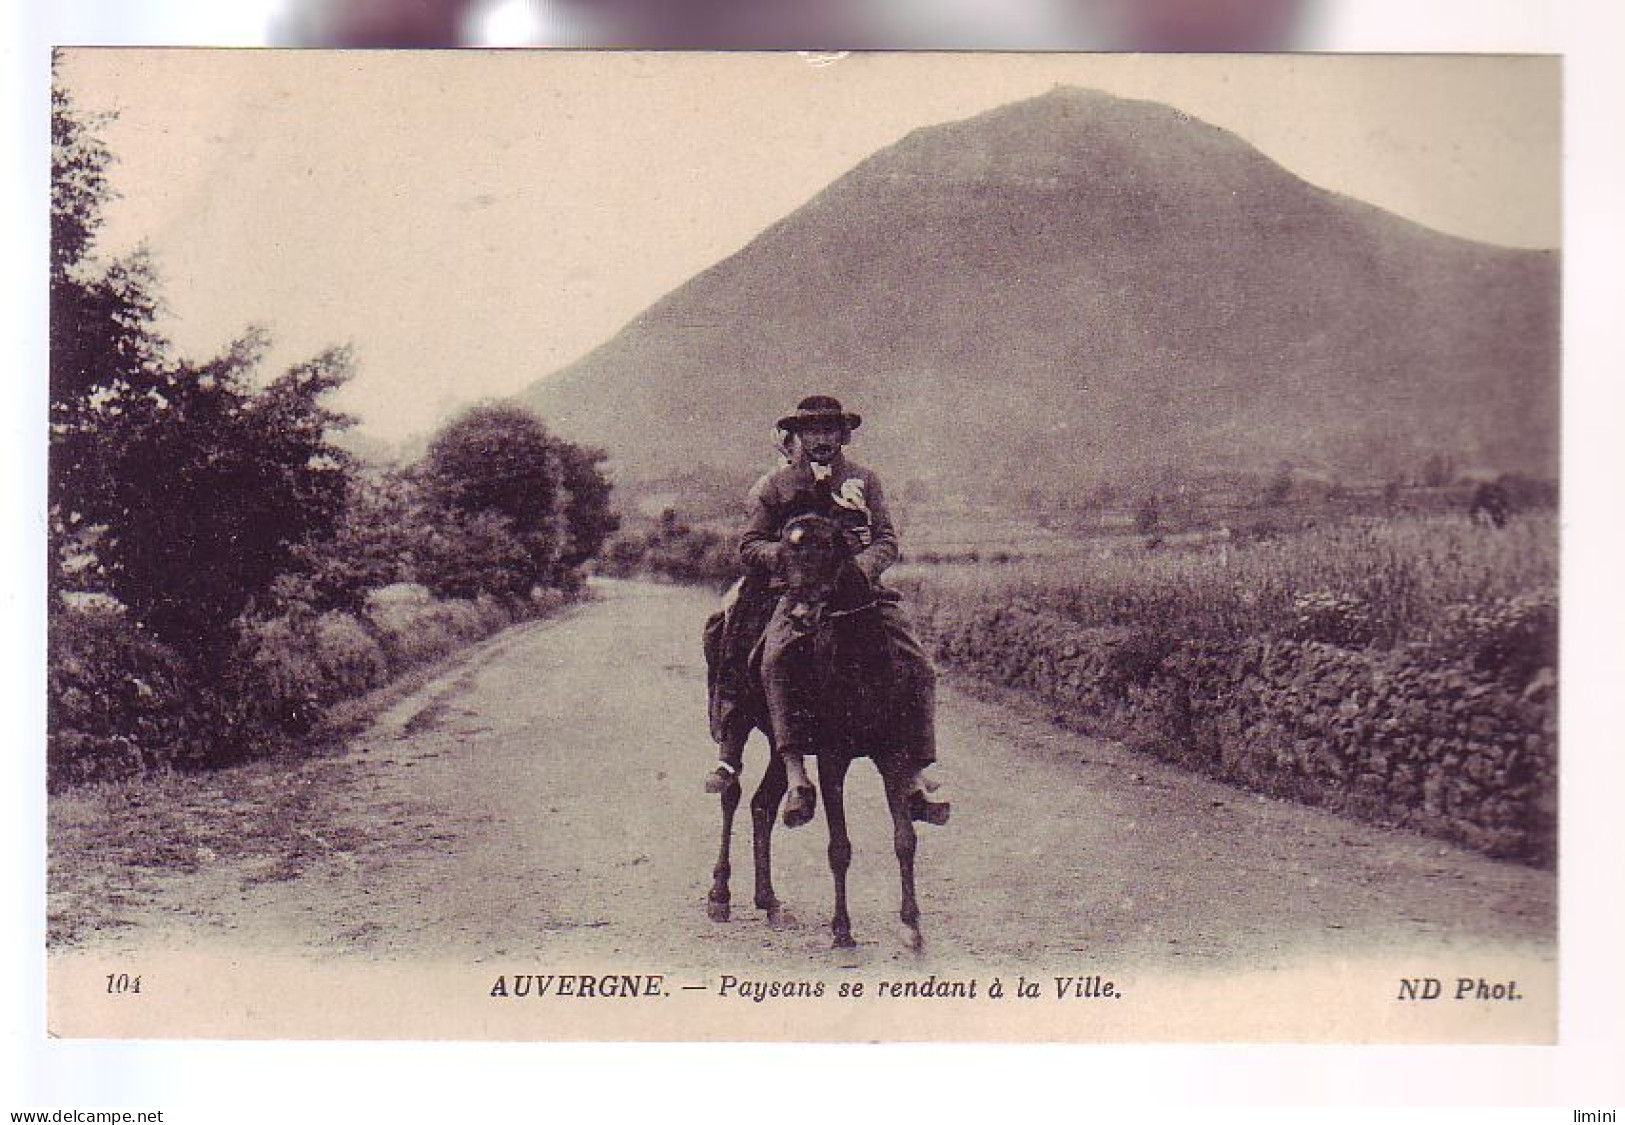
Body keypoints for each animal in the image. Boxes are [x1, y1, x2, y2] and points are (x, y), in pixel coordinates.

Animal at [705, 510, 936, 949]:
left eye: (830, 547)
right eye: (784, 549)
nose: (798, 614)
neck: (861, 668)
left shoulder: (892, 755)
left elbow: (905, 839)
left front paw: (912, 925)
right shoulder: (833, 759)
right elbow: (839, 847)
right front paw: (842, 929)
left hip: (779, 741)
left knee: (763, 804)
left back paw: (770, 901)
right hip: (738, 717)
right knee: (730, 793)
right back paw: (720, 896)